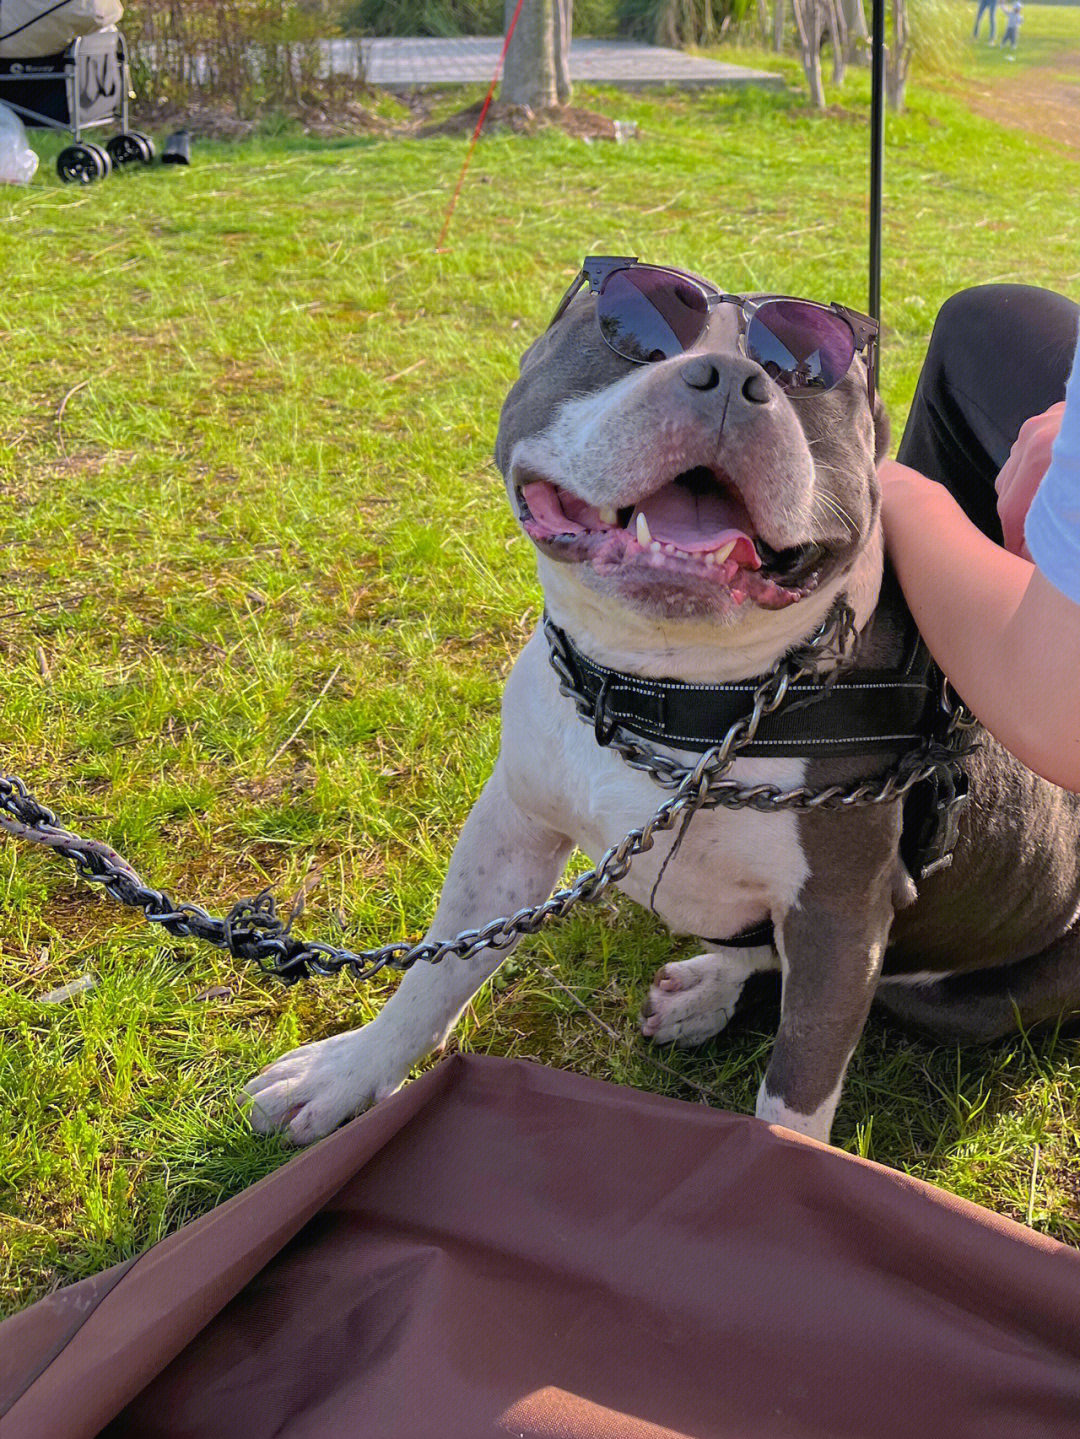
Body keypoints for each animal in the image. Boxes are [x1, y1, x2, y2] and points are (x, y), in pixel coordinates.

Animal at [244, 253, 1080, 1139]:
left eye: (806, 376)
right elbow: (440, 966)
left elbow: (794, 1095)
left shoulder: (841, 916)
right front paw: (349, 1071)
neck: (674, 693)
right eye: (636, 335)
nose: (732, 380)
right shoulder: (511, 825)